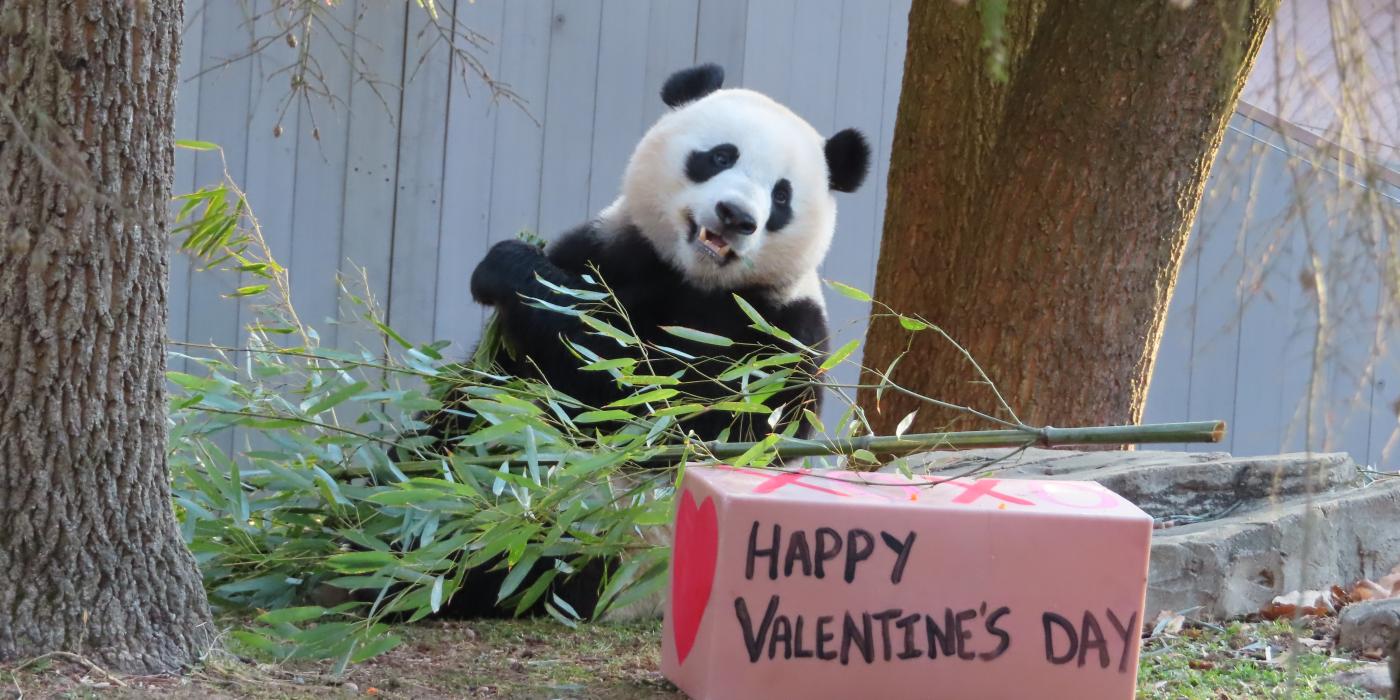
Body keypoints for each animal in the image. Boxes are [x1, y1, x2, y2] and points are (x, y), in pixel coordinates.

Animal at [464, 63, 868, 439]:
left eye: (781, 195)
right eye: (721, 157)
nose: (735, 215)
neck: (694, 278)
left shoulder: (784, 335)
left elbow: (657, 396)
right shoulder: (608, 251)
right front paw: (506, 265)